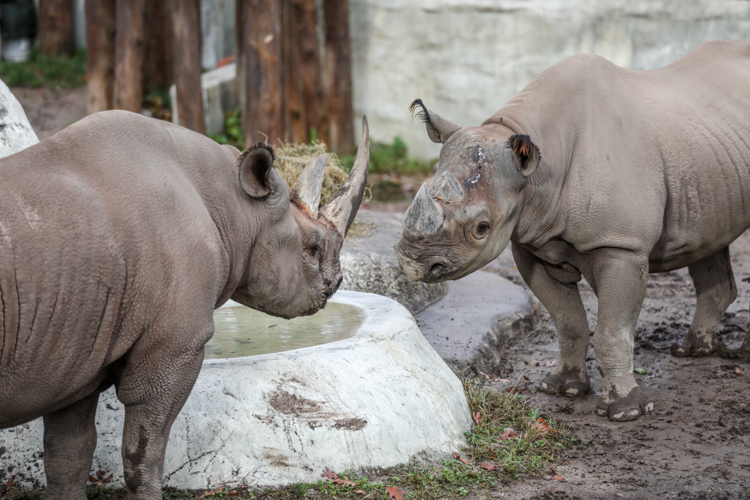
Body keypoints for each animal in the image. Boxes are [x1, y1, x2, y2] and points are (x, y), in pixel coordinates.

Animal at [0, 111, 370, 498]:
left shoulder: (78, 348)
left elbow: (68, 455)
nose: (336, 283)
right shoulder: (173, 347)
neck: (235, 207)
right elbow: (144, 453)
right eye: (311, 248)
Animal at [396, 40, 748, 422]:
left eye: (481, 227)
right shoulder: (533, 245)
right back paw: (693, 350)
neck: (538, 171)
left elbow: (612, 331)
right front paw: (563, 389)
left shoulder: (622, 245)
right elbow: (568, 321)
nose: (412, 264)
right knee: (709, 239)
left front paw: (625, 411)